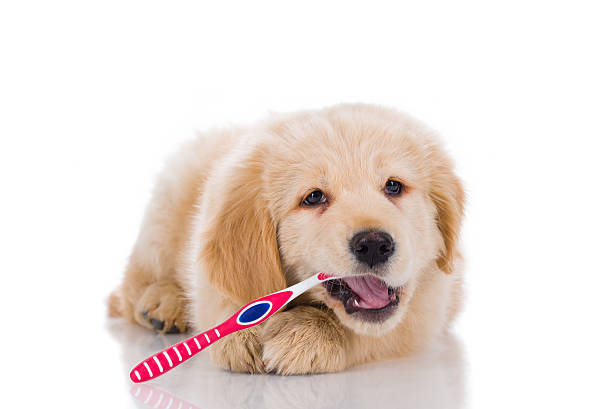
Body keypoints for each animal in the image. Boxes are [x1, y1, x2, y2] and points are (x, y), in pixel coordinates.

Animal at [109, 103, 464, 372]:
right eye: (314, 197)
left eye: (393, 186)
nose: (375, 245)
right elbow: (230, 297)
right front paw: (241, 335)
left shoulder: (428, 307)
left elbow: (375, 330)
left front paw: (309, 334)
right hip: (165, 212)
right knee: (131, 287)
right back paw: (162, 303)